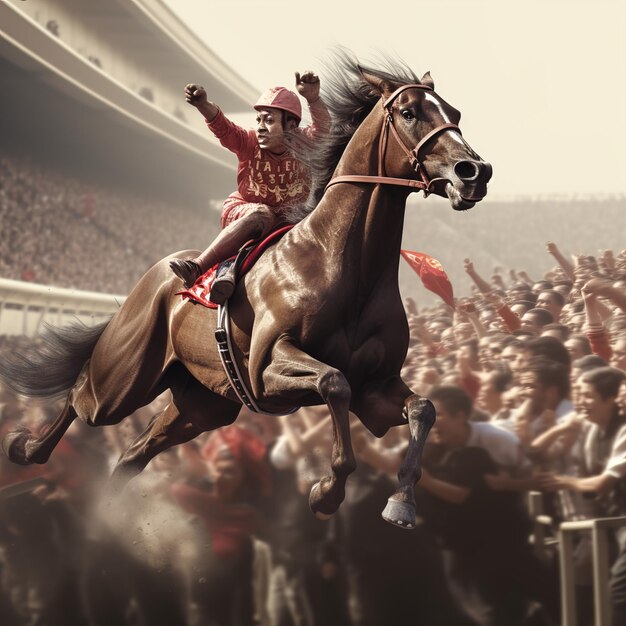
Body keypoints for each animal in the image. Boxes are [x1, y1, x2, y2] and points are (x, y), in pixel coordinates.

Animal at [0, 57, 490, 528]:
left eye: (455, 113)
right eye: (409, 112)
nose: (475, 172)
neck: (343, 263)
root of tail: (152, 275)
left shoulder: (377, 388)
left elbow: (423, 408)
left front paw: (401, 500)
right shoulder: (266, 370)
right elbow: (334, 382)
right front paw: (326, 492)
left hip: (202, 405)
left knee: (132, 456)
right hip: (123, 377)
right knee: (81, 396)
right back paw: (26, 449)